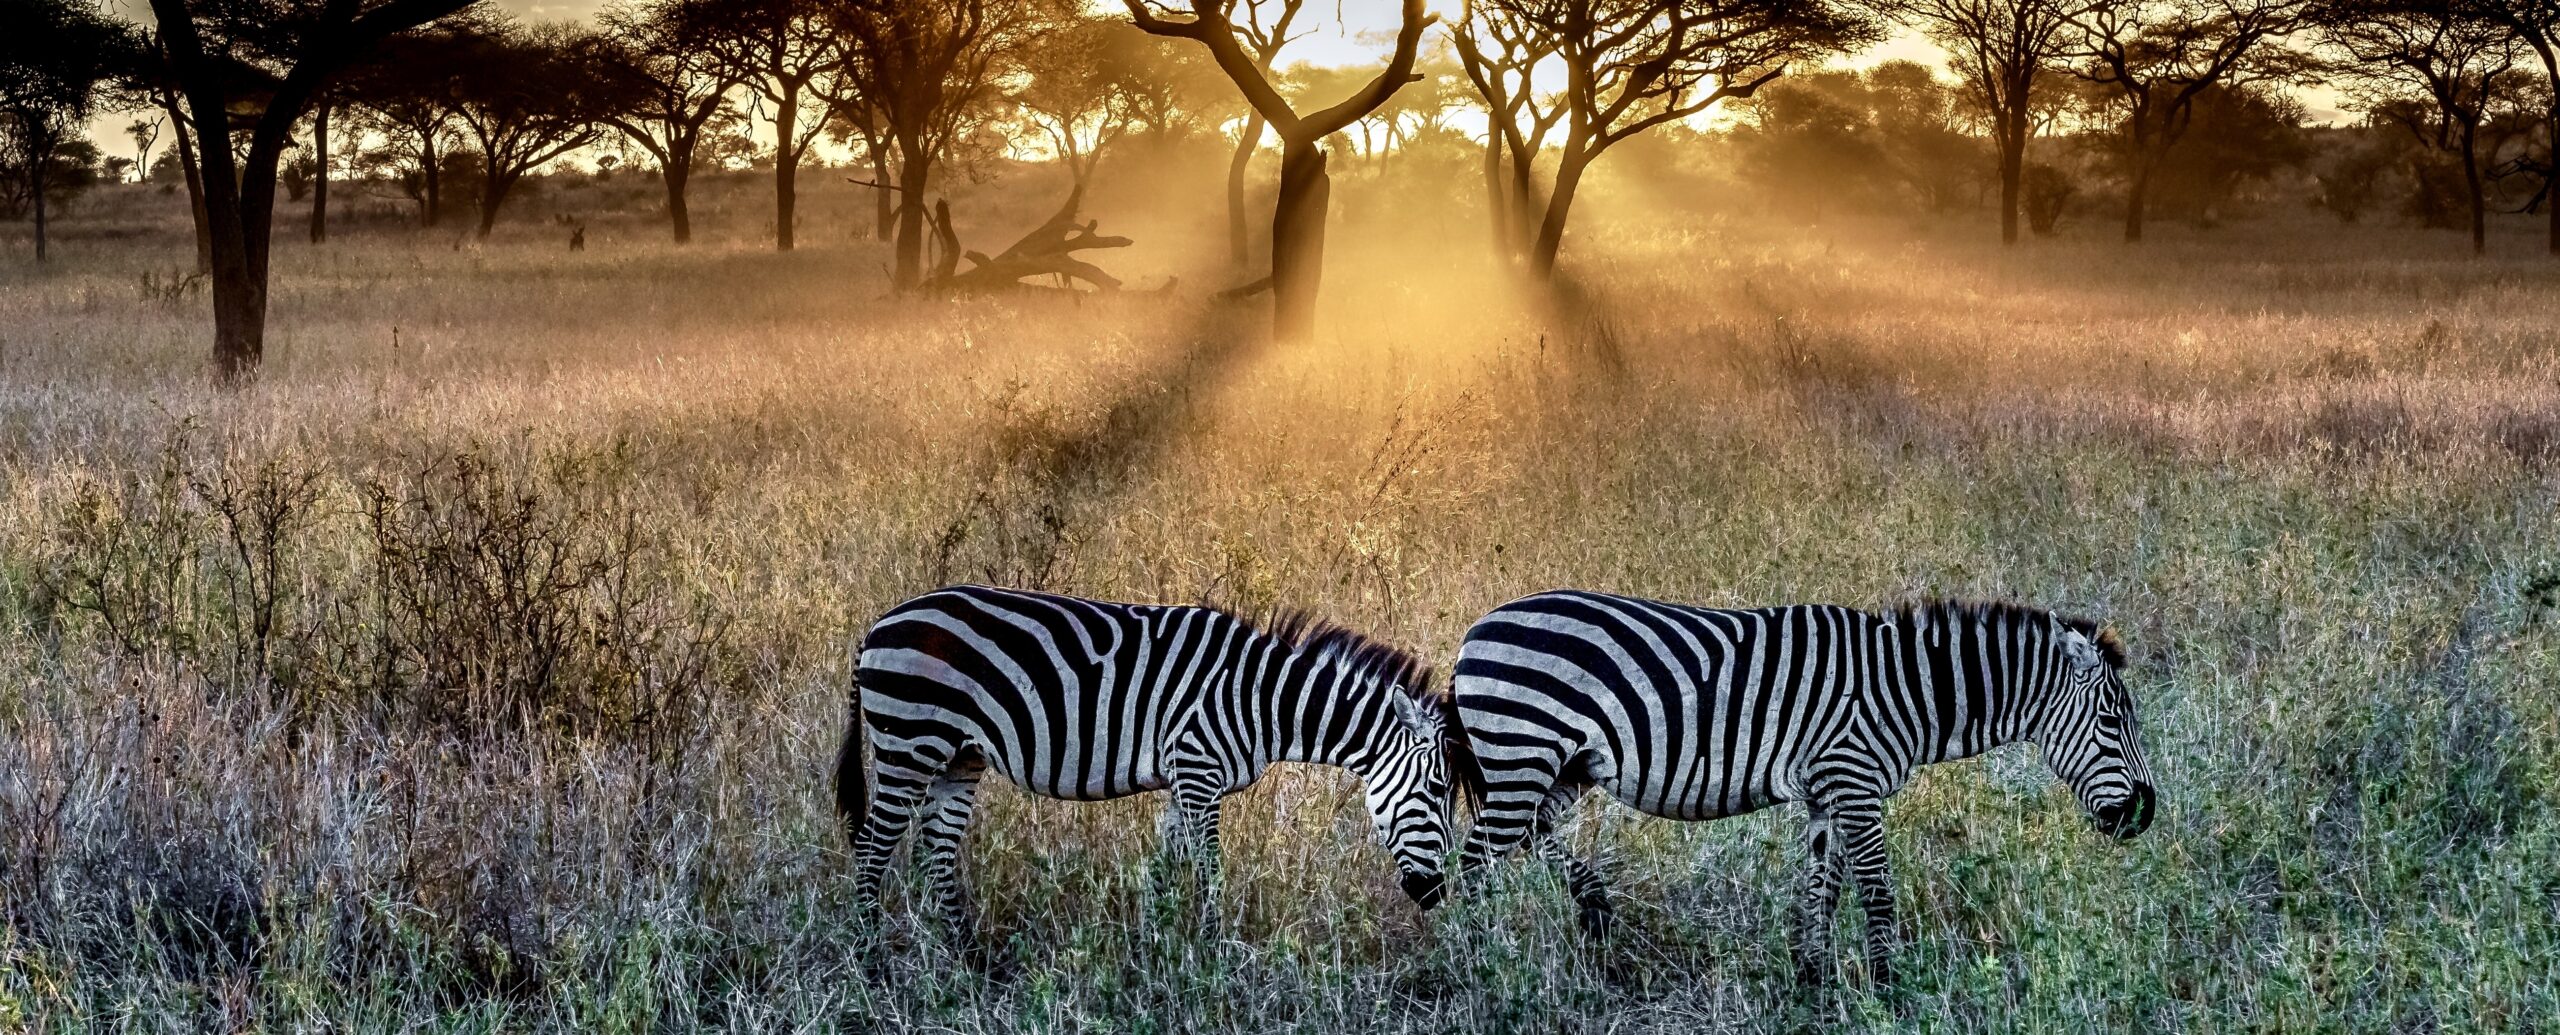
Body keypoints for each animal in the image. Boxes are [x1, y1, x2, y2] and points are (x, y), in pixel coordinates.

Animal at [834, 585, 1463, 932]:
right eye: (1436, 791)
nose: (1436, 895)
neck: (1259, 697)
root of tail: (879, 624)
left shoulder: (1183, 780)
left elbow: (1164, 870)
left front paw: (1153, 948)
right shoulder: (1198, 770)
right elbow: (1209, 871)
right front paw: (1217, 956)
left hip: (957, 757)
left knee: (934, 854)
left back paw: (966, 959)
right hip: (909, 743)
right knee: (872, 850)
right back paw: (872, 959)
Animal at [1449, 591, 2158, 984]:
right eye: (2112, 721)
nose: (2144, 817)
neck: (1906, 693)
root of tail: (1476, 628)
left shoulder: (1827, 792)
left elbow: (1823, 890)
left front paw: (1814, 979)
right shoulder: (1854, 780)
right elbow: (1875, 892)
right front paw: (1888, 987)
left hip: (1566, 766)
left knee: (1532, 832)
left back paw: (1590, 907)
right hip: (1521, 757)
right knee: (1473, 863)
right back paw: (1480, 962)